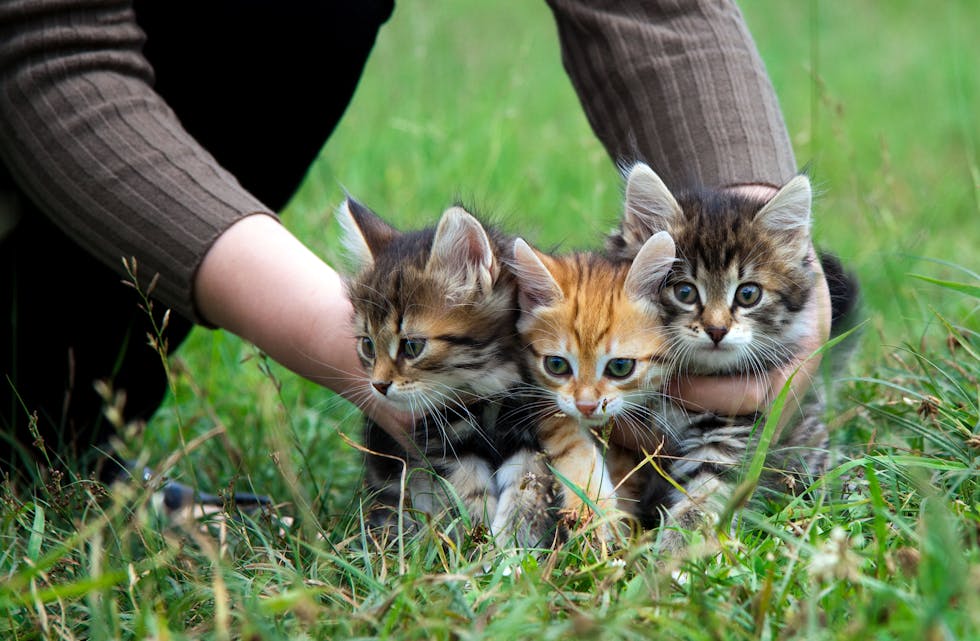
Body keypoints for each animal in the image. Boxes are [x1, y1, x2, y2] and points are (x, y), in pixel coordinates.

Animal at [336, 199, 556, 544]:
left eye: (412, 346)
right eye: (368, 345)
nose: (378, 385)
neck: (486, 390)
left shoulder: (532, 429)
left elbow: (527, 492)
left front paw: (512, 546)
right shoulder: (443, 443)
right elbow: (467, 495)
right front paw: (476, 544)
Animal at [510, 230, 676, 528]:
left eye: (620, 367)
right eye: (556, 365)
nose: (586, 406)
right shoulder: (542, 398)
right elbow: (571, 443)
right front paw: (591, 508)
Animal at [604, 162, 856, 548]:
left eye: (748, 294)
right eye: (684, 292)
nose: (717, 329)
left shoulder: (730, 432)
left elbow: (703, 498)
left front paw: (675, 553)